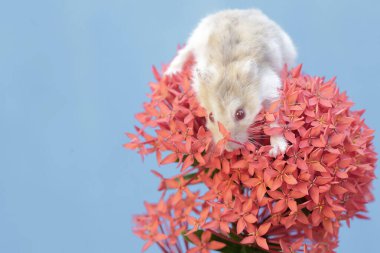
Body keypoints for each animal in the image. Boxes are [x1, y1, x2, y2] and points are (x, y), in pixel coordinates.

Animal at [165, 8, 296, 156]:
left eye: (241, 114)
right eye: (211, 116)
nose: (228, 149)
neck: (227, 68)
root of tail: (241, 10)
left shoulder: (270, 89)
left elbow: (273, 118)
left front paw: (277, 151)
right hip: (197, 36)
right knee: (185, 50)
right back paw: (170, 73)